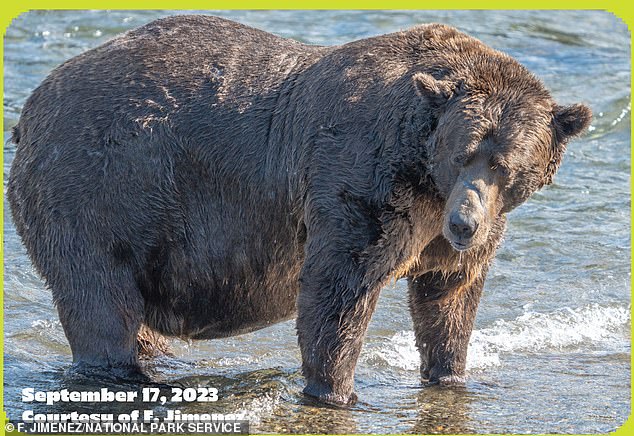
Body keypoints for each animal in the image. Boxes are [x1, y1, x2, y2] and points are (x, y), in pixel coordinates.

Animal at [7, 15, 592, 408]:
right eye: (462, 151)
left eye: (505, 163)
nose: (464, 223)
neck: (424, 174)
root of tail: (29, 109)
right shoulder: (360, 179)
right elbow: (339, 289)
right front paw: (336, 391)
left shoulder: (445, 229)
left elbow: (449, 297)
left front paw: (450, 374)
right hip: (99, 188)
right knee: (100, 299)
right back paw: (121, 372)